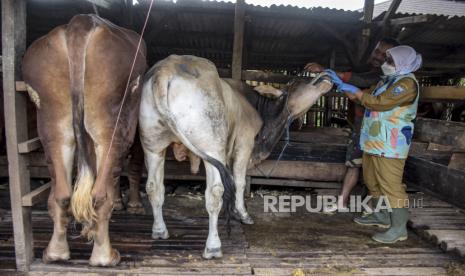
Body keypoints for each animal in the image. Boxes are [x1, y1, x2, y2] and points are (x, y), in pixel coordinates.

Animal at [20, 14, 145, 266]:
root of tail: (81, 23)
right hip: (111, 125)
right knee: (98, 194)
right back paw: (104, 256)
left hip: (54, 123)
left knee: (63, 194)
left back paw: (56, 252)